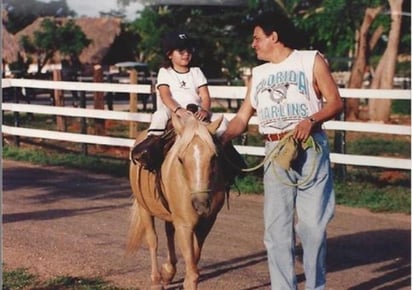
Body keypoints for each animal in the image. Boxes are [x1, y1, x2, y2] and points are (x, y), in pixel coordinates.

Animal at [127, 114, 227, 290]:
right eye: (180, 159)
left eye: (214, 157)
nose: (201, 204)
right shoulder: (184, 225)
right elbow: (192, 274)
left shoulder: (206, 223)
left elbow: (194, 260)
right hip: (144, 208)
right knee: (152, 240)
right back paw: (156, 280)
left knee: (168, 233)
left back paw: (168, 272)